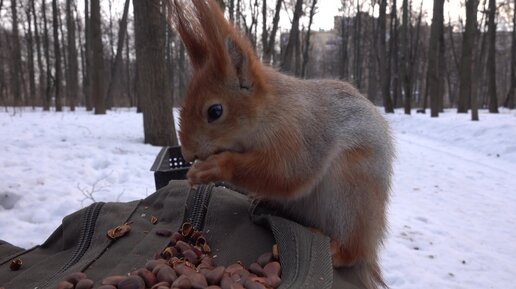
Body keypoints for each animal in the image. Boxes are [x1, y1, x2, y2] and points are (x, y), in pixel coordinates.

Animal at [167, 1, 394, 286]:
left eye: (215, 111)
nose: (187, 152)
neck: (270, 111)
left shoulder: (299, 135)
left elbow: (286, 173)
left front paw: (214, 168)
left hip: (350, 192)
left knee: (354, 251)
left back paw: (337, 251)